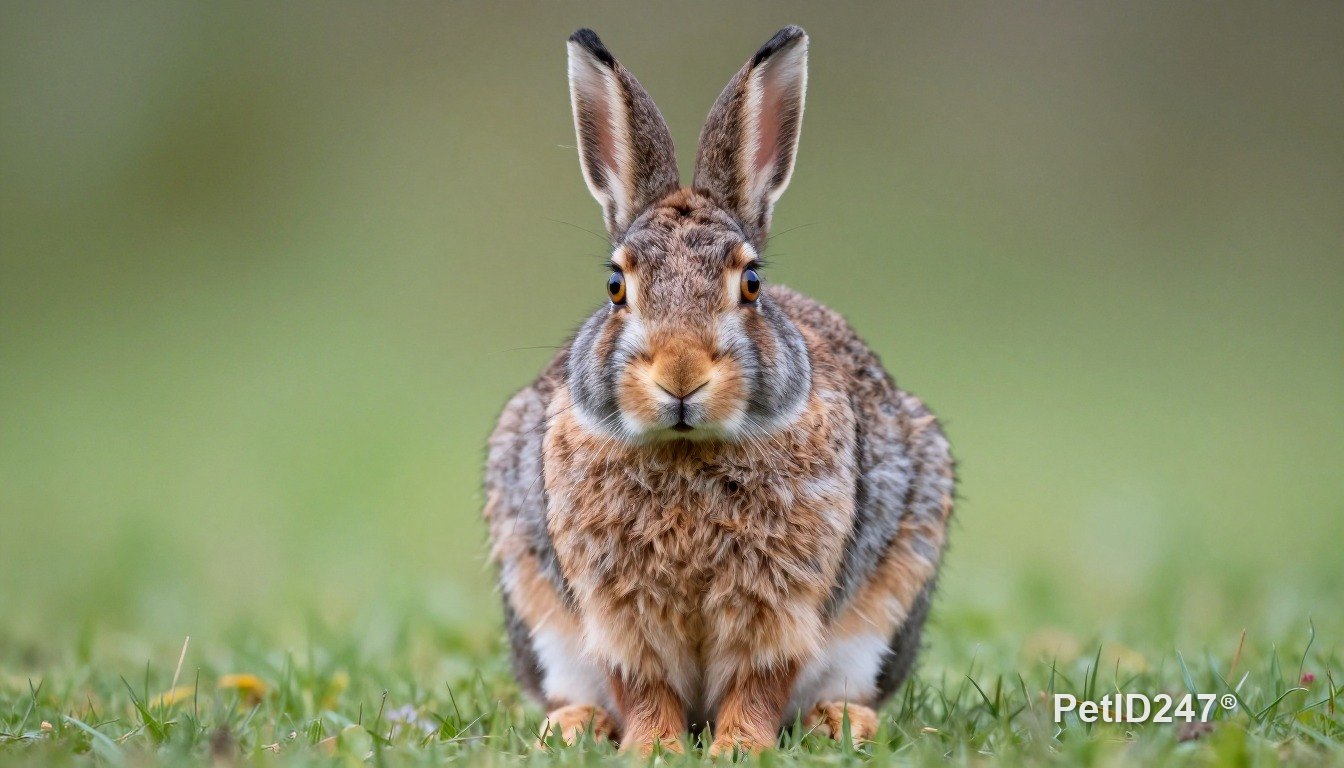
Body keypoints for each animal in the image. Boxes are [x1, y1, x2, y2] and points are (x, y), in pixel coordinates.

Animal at [483, 26, 955, 755]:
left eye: (751, 282)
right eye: (616, 286)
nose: (681, 375)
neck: (688, 449)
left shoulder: (783, 602)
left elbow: (761, 680)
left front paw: (739, 747)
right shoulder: (616, 612)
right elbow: (642, 684)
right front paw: (655, 749)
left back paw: (841, 722)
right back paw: (573, 725)